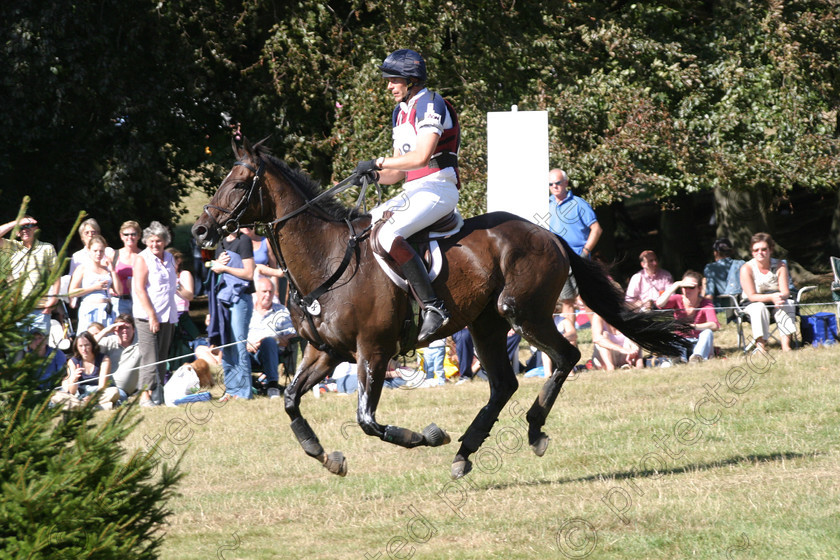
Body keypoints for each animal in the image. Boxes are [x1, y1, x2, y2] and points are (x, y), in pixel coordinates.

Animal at [192, 138, 688, 480]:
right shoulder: (324, 352)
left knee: (566, 356)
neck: (326, 260)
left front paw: (427, 436)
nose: (200, 231)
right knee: (503, 383)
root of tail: (548, 234)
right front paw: (327, 457)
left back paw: (531, 431)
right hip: (487, 324)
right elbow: (291, 400)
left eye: (239, 184)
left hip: (521, 312)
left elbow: (368, 420)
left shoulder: (373, 351)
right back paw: (465, 453)